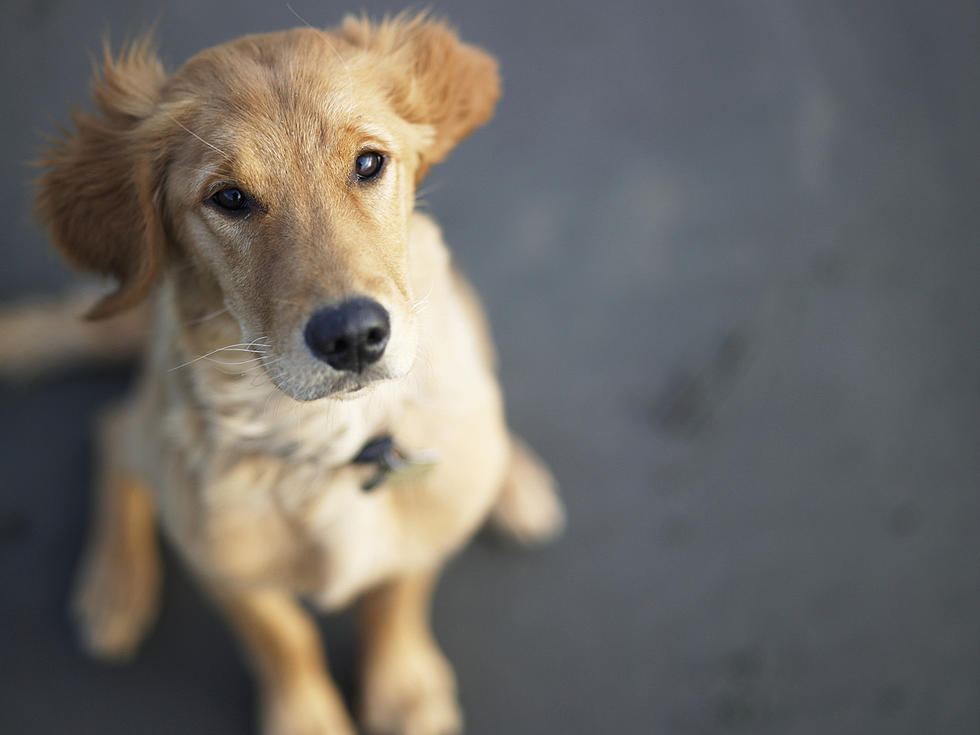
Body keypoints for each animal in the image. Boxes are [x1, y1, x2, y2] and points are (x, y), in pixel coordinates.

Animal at [23, 15, 568, 735]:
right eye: (229, 198)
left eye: (369, 163)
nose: (354, 335)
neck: (332, 440)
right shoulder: (225, 565)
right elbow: (281, 637)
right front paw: (307, 715)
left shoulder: (422, 530)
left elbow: (397, 594)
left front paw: (404, 689)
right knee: (114, 429)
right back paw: (115, 587)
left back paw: (514, 478)